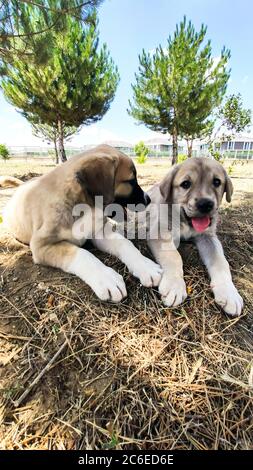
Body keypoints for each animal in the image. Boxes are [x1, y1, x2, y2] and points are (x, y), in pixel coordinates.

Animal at [3, 145, 162, 302]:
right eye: (131, 181)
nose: (148, 199)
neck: (83, 206)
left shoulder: (99, 232)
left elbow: (125, 243)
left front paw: (145, 265)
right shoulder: (41, 246)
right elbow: (82, 254)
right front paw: (106, 278)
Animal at [147, 157, 244, 316]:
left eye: (216, 182)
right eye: (185, 184)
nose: (205, 204)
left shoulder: (208, 237)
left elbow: (221, 262)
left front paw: (229, 293)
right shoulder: (160, 232)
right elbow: (173, 256)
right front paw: (174, 285)